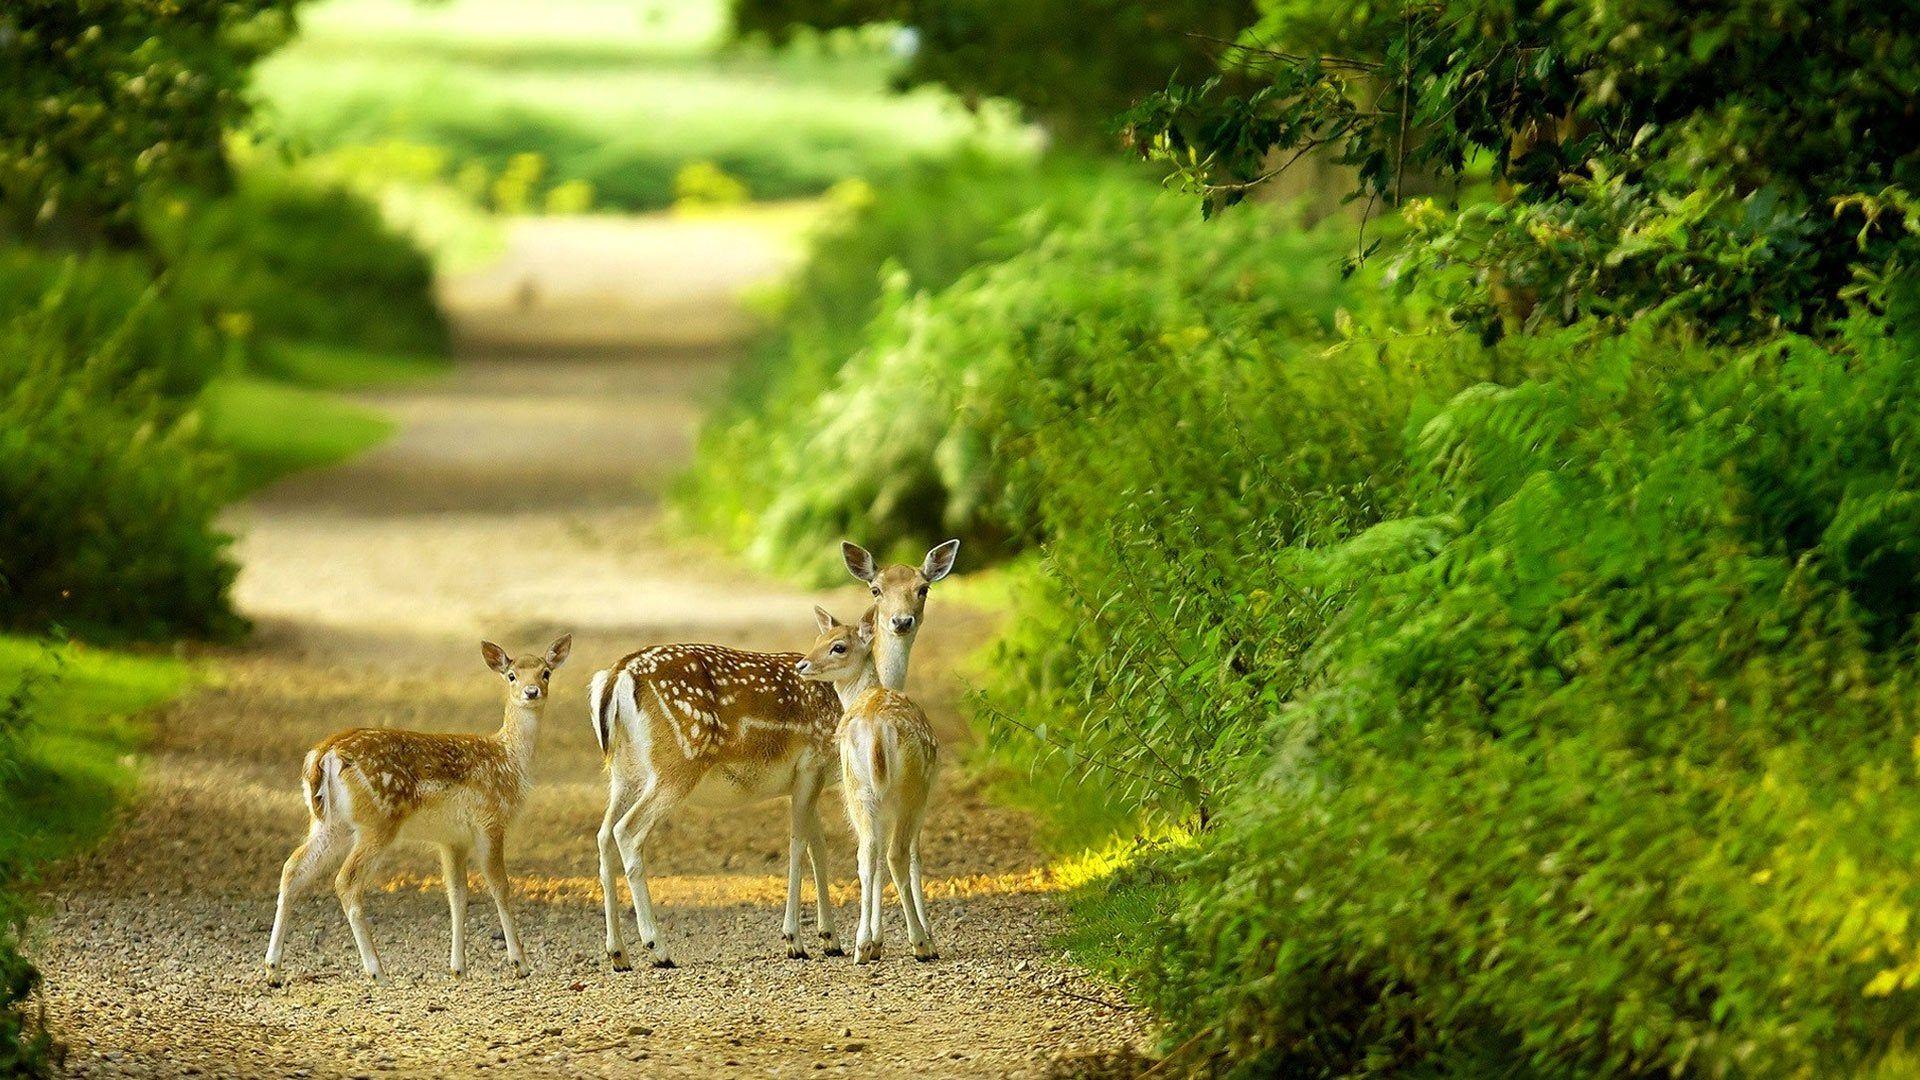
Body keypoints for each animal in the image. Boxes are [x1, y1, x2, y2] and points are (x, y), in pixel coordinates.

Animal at [263, 635, 571, 985]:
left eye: (546, 672)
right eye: (511, 675)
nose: (532, 692)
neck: (509, 759)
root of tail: (323, 755)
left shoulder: (452, 839)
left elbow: (457, 894)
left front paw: (458, 967)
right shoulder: (490, 821)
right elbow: (500, 887)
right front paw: (520, 963)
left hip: (330, 823)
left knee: (293, 868)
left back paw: (273, 968)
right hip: (379, 820)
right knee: (346, 880)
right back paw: (377, 971)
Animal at [795, 607, 940, 963]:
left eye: (837, 646)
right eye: (818, 638)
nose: (801, 664)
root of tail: (877, 731)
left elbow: (872, 862)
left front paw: (876, 942)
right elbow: (914, 859)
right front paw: (920, 938)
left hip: (858, 788)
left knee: (867, 854)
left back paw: (861, 945)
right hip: (910, 790)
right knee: (896, 854)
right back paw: (920, 943)